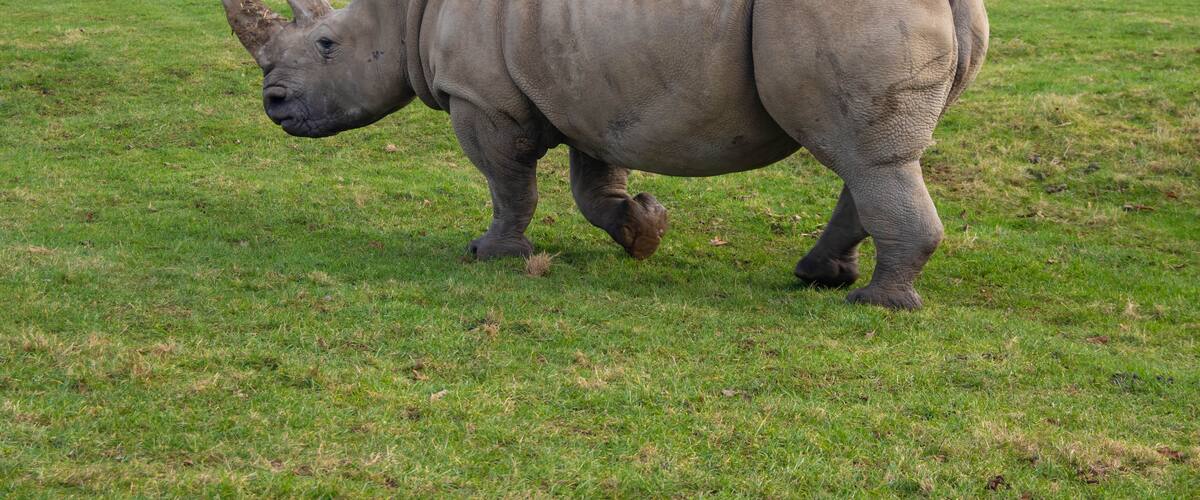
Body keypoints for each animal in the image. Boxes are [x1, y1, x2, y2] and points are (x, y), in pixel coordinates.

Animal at [220, 0, 988, 309]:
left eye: (327, 45)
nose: (274, 105)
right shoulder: (587, 87)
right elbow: (594, 186)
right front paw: (644, 229)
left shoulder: (483, 98)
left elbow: (509, 182)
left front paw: (491, 255)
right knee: (866, 153)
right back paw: (819, 277)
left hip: (845, 14)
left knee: (865, 155)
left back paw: (876, 303)